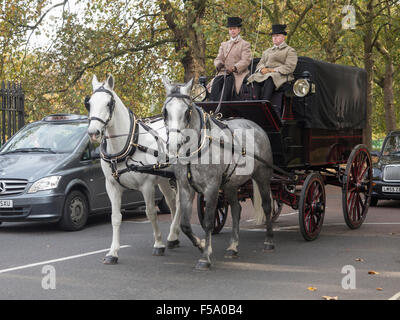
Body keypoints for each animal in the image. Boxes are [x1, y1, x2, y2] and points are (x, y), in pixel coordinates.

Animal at [87, 75, 181, 264]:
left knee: (181, 202)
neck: (129, 143)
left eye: (109, 103)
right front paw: (113, 252)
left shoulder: (147, 185)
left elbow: (150, 213)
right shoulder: (112, 186)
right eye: (89, 103)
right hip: (164, 180)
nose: (93, 132)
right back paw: (173, 236)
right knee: (172, 202)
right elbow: (115, 218)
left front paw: (158, 244)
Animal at [161, 77, 274, 270]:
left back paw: (268, 241)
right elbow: (185, 225)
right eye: (165, 112)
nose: (174, 145)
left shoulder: (212, 187)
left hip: (262, 175)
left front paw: (205, 257)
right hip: (230, 183)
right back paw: (233, 247)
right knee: (236, 209)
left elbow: (207, 222)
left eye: (187, 112)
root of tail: (255, 125)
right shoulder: (185, 187)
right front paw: (201, 245)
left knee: (267, 206)